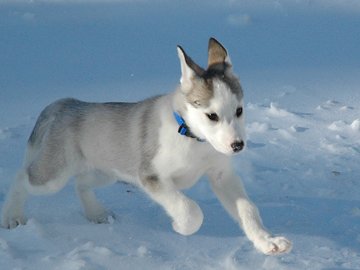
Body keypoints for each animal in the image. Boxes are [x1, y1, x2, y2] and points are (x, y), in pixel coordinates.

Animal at [1, 38, 292, 255]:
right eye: (212, 116)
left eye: (239, 110)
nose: (237, 145)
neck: (192, 138)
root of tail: (65, 103)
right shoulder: (151, 176)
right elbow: (190, 209)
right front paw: (180, 227)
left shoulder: (221, 175)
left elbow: (248, 209)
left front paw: (267, 242)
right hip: (53, 175)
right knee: (22, 177)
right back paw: (12, 217)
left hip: (106, 170)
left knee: (80, 183)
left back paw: (96, 214)